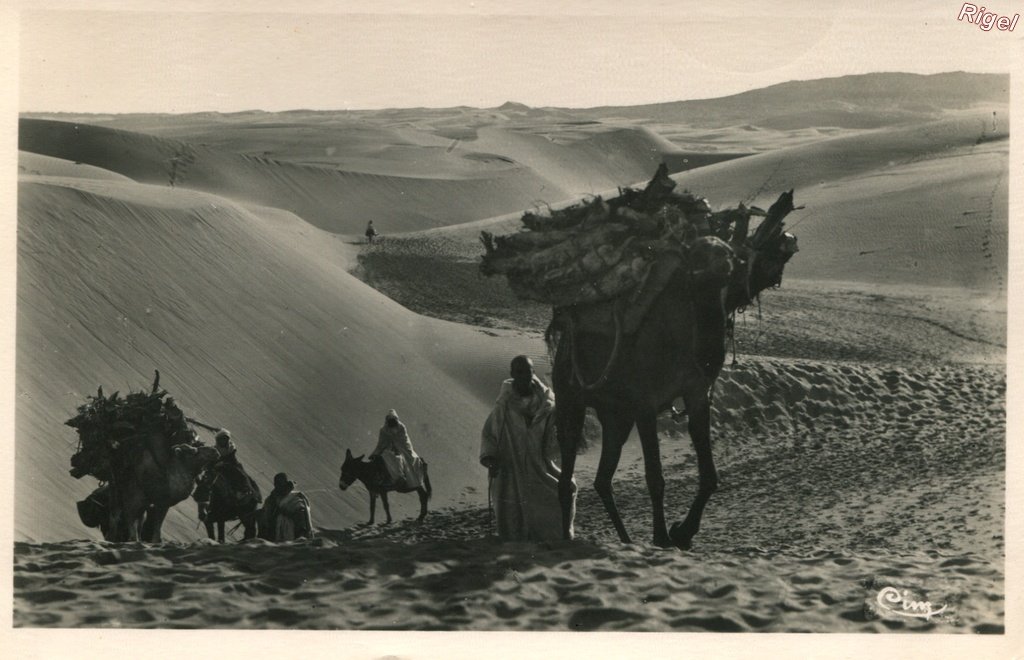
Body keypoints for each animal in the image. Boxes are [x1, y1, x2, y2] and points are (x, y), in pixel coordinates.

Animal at [552, 191, 798, 552]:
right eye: (699, 255)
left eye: (730, 254)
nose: (789, 239)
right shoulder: (644, 403)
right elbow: (655, 477)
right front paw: (662, 536)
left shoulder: (695, 393)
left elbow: (710, 476)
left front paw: (682, 532)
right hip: (570, 395)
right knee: (567, 467)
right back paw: (566, 537)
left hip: (616, 415)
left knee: (602, 479)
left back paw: (625, 540)